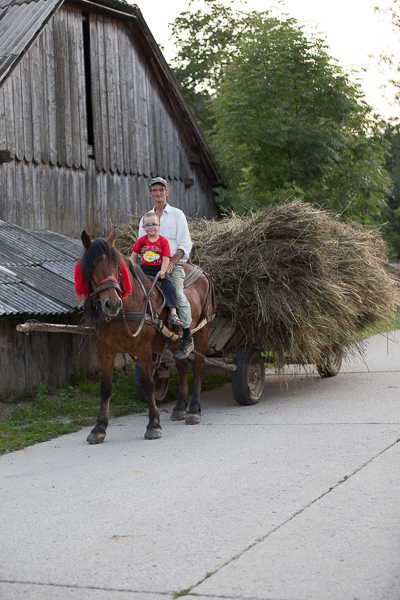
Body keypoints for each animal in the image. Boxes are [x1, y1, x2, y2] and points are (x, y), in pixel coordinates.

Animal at [75, 228, 215, 443]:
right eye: (91, 265)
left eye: (116, 265)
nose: (112, 304)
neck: (126, 308)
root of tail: (201, 272)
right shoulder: (104, 350)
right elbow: (105, 387)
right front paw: (99, 428)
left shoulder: (144, 350)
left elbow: (149, 384)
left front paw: (153, 424)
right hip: (176, 343)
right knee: (183, 368)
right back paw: (180, 407)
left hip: (202, 332)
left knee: (198, 369)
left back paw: (193, 410)